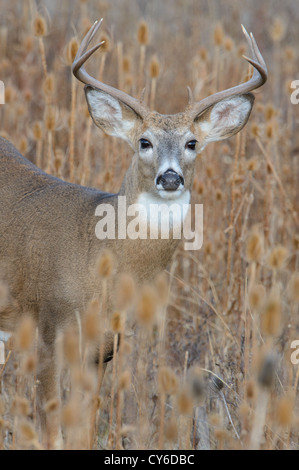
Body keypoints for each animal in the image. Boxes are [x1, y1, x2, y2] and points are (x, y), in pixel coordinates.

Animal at [0, 20, 268, 446]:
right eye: (145, 141)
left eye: (192, 143)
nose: (170, 177)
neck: (97, 255)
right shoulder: (47, 329)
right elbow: (51, 432)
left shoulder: (103, 349)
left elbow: (84, 431)